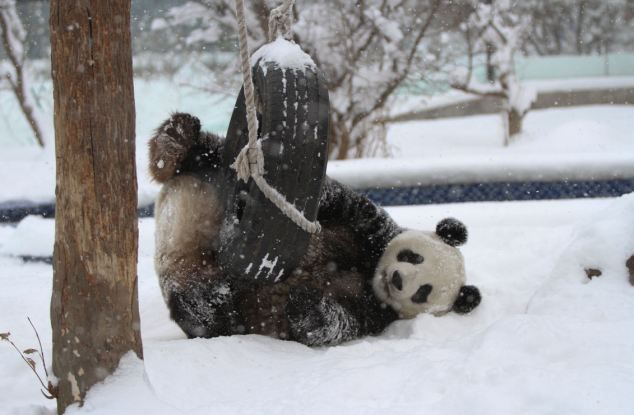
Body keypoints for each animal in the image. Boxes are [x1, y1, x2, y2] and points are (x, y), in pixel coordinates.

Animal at [148, 111, 478, 348]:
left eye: (423, 291)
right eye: (413, 257)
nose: (397, 278)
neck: (369, 267)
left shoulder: (378, 312)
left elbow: (332, 323)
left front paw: (303, 299)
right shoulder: (373, 230)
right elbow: (339, 202)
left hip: (198, 280)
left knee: (205, 310)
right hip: (213, 169)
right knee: (206, 151)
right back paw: (177, 138)